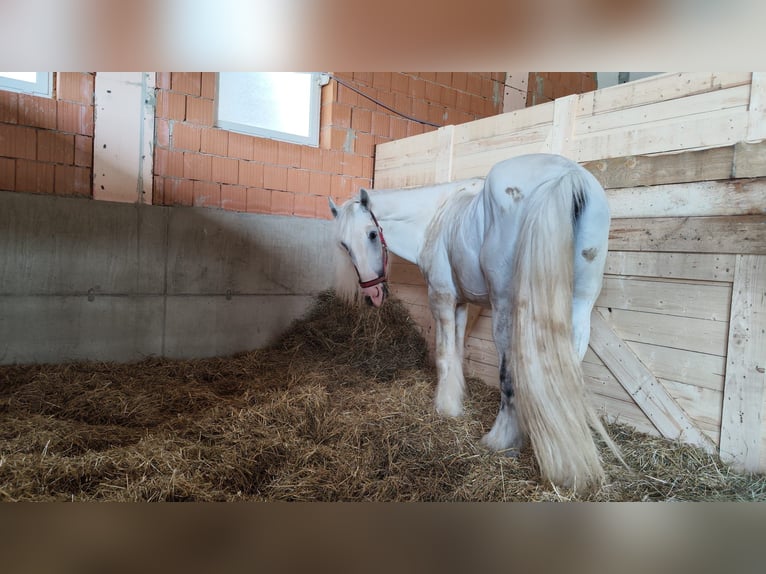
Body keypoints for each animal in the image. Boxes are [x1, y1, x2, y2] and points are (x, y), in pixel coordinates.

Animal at [328, 153, 622, 491]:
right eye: (343, 245)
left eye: (372, 234)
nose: (373, 295)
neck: (437, 216)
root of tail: (568, 176)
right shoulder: (461, 303)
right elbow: (456, 350)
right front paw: (458, 397)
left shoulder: (442, 297)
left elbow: (444, 354)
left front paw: (446, 407)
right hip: (580, 305)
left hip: (507, 309)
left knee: (510, 374)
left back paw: (501, 441)